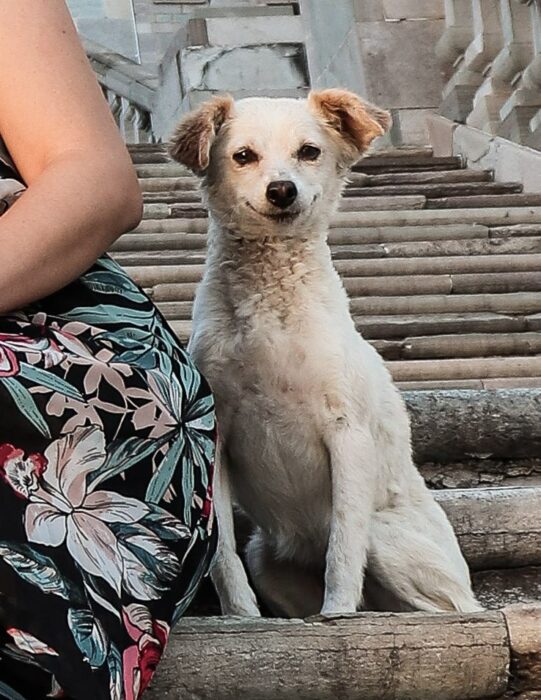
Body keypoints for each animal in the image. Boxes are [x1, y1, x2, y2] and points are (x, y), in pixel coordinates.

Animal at [170, 89, 480, 616]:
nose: (282, 190)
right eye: (243, 155)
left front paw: (335, 615)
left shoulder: (347, 432)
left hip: (388, 540)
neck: (271, 310)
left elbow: (343, 549)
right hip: (268, 561)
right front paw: (243, 619)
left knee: (448, 606)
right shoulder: (217, 434)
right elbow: (223, 554)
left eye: (309, 151)